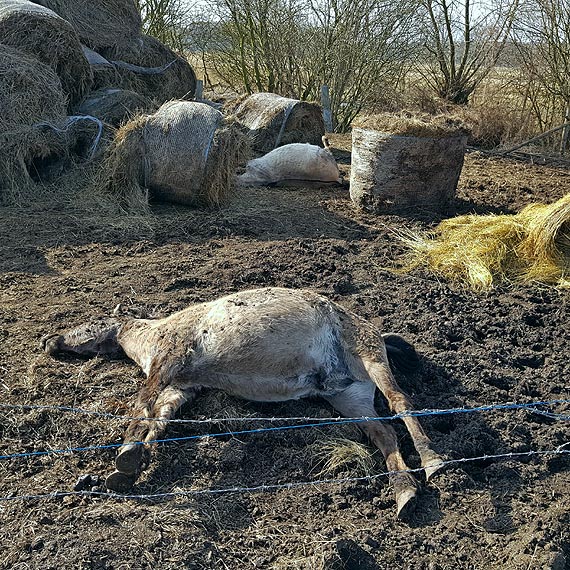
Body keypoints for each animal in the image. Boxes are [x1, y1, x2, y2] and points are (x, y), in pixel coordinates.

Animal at [43, 286, 444, 512]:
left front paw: (127, 455)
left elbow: (142, 405)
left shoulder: (168, 360)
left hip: (369, 357)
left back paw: (432, 461)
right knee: (384, 435)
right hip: (350, 398)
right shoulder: (182, 386)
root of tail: (374, 330)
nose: (49, 341)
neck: (155, 332)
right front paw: (141, 457)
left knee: (400, 403)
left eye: (87, 323)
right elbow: (162, 414)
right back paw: (404, 492)